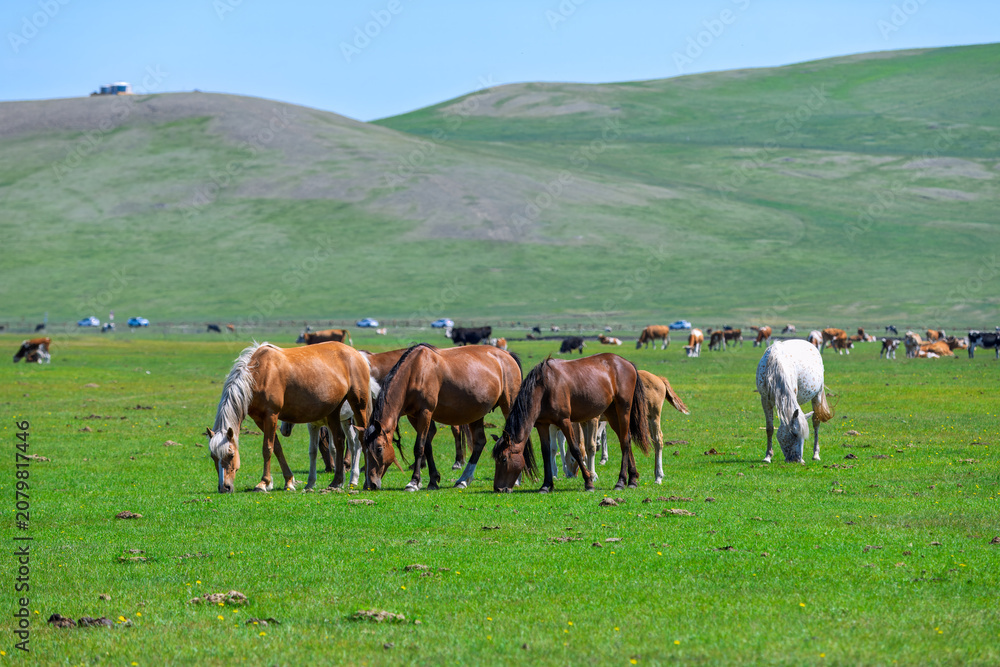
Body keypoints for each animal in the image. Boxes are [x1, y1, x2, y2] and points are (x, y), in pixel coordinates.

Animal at [205, 341, 380, 493]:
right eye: (213, 456)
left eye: (231, 454)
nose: (224, 487)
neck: (257, 374)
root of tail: (357, 354)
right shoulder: (260, 419)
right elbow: (277, 447)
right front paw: (288, 481)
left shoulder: (271, 415)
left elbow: (267, 448)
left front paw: (263, 483)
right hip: (334, 412)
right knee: (339, 441)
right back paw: (336, 482)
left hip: (359, 406)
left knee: (361, 440)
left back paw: (364, 481)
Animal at [362, 343, 522, 492]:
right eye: (365, 450)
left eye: (379, 449)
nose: (370, 484)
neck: (415, 372)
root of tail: (507, 355)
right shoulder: (414, 416)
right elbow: (427, 446)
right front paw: (433, 480)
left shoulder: (425, 412)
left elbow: (419, 447)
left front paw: (413, 482)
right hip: (477, 413)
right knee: (479, 442)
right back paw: (463, 480)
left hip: (508, 406)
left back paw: (516, 480)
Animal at [492, 353, 650, 493]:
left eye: (504, 459)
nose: (498, 488)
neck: (544, 387)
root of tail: (627, 363)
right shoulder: (542, 425)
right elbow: (546, 452)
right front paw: (546, 485)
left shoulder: (565, 422)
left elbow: (576, 450)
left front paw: (589, 482)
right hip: (612, 414)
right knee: (626, 439)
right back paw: (632, 479)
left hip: (623, 410)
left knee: (625, 441)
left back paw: (621, 482)